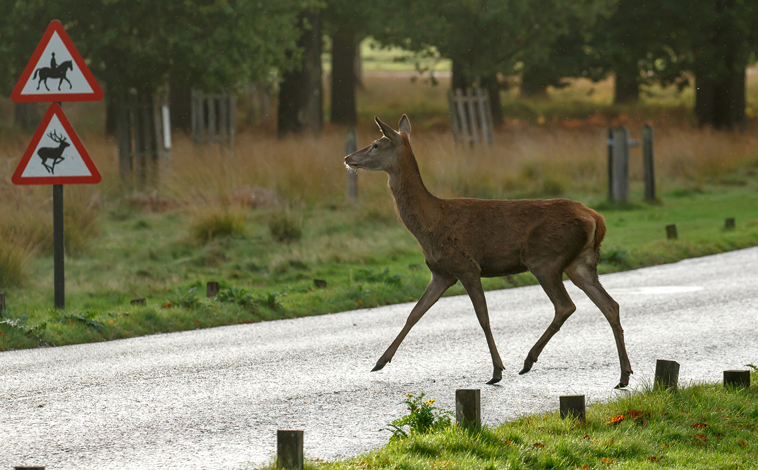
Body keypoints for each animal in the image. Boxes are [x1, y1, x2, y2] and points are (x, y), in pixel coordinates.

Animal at [346, 115, 636, 388]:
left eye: (375, 144)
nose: (348, 158)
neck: (429, 223)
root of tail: (596, 218)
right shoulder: (442, 273)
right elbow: (414, 313)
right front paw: (380, 361)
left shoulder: (467, 266)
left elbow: (483, 318)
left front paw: (497, 370)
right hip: (580, 263)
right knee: (610, 305)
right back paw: (623, 375)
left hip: (545, 259)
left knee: (566, 306)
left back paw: (528, 360)